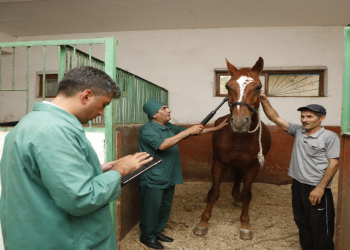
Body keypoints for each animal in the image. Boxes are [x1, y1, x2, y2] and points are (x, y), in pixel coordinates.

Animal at [194, 57, 270, 239]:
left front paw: (245, 225)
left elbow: (247, 195)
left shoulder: (253, 166)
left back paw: (236, 197)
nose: (239, 123)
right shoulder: (219, 163)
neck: (240, 138)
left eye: (259, 87)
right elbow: (214, 193)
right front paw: (203, 223)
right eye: (228, 86)